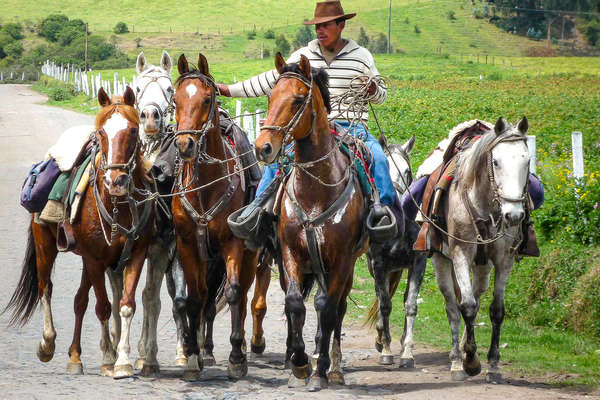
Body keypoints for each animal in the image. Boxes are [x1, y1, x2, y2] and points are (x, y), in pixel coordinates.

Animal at [4, 86, 154, 378]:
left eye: (133, 130)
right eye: (101, 132)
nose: (116, 181)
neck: (116, 204)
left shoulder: (135, 254)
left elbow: (125, 305)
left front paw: (122, 361)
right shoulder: (95, 259)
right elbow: (103, 307)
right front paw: (108, 357)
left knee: (79, 301)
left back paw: (75, 357)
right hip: (46, 245)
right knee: (46, 288)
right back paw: (47, 344)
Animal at [170, 54, 270, 382]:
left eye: (206, 99)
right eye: (175, 99)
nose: (185, 145)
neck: (206, 184)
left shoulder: (232, 246)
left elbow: (235, 293)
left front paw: (236, 358)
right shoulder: (188, 246)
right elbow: (194, 299)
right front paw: (192, 355)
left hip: (247, 258)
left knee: (242, 297)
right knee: (206, 299)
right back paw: (205, 348)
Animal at [254, 52, 370, 390]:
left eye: (297, 99)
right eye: (270, 96)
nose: (263, 147)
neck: (316, 191)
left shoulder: (341, 258)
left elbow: (327, 308)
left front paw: (320, 368)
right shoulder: (291, 252)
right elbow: (294, 302)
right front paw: (300, 362)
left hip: (345, 265)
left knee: (337, 308)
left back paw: (335, 367)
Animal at [364, 136, 428, 368]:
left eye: (406, 170)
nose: (396, 201)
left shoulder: (418, 262)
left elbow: (410, 305)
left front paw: (407, 352)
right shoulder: (379, 265)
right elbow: (384, 306)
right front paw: (386, 350)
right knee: (380, 296)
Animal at [428, 118, 532, 382]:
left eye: (527, 160)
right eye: (496, 162)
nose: (514, 215)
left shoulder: (504, 259)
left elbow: (496, 310)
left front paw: (493, 364)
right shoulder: (460, 255)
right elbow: (466, 306)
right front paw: (471, 361)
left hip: (483, 268)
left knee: (476, 295)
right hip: (442, 261)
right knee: (453, 307)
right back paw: (457, 359)